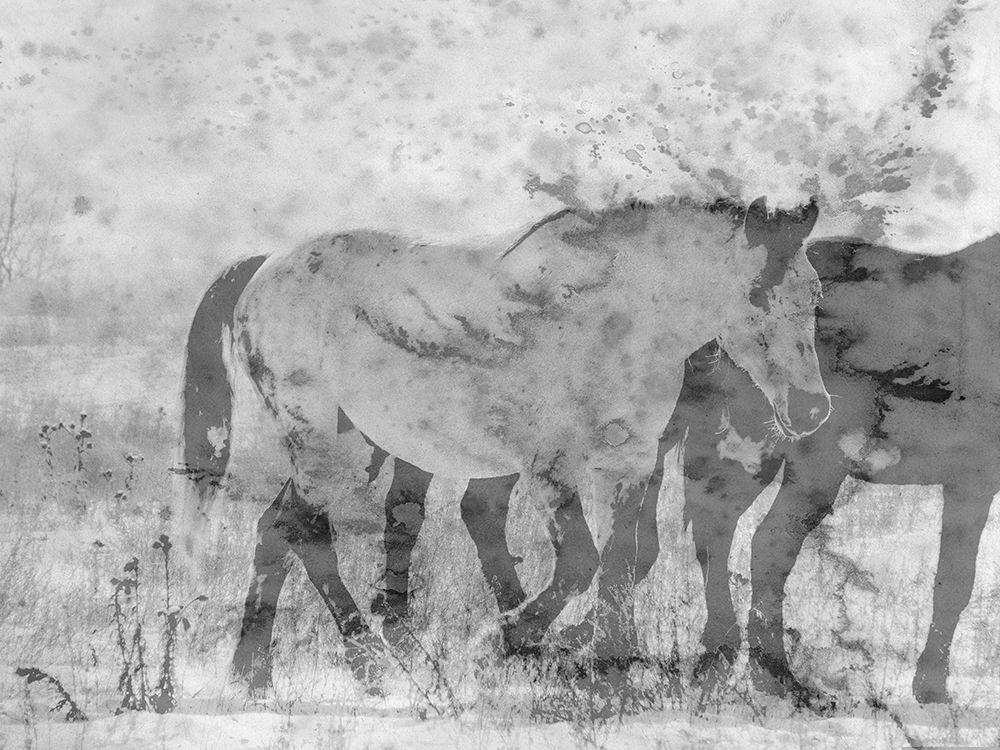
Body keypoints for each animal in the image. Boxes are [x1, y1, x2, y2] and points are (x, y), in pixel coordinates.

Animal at [179, 195, 831, 695]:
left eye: (815, 293)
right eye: (755, 291)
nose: (812, 408)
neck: (613, 318)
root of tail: (265, 266)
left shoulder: (628, 465)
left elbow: (620, 564)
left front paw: (611, 670)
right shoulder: (550, 467)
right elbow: (580, 563)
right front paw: (506, 640)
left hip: (353, 448)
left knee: (277, 528)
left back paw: (253, 674)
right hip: (324, 445)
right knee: (305, 531)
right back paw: (365, 665)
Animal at [655, 233, 1000, 709]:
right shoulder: (973, 478)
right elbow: (955, 582)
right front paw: (931, 688)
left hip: (748, 451)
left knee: (715, 533)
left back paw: (719, 656)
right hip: (809, 461)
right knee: (768, 542)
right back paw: (775, 675)